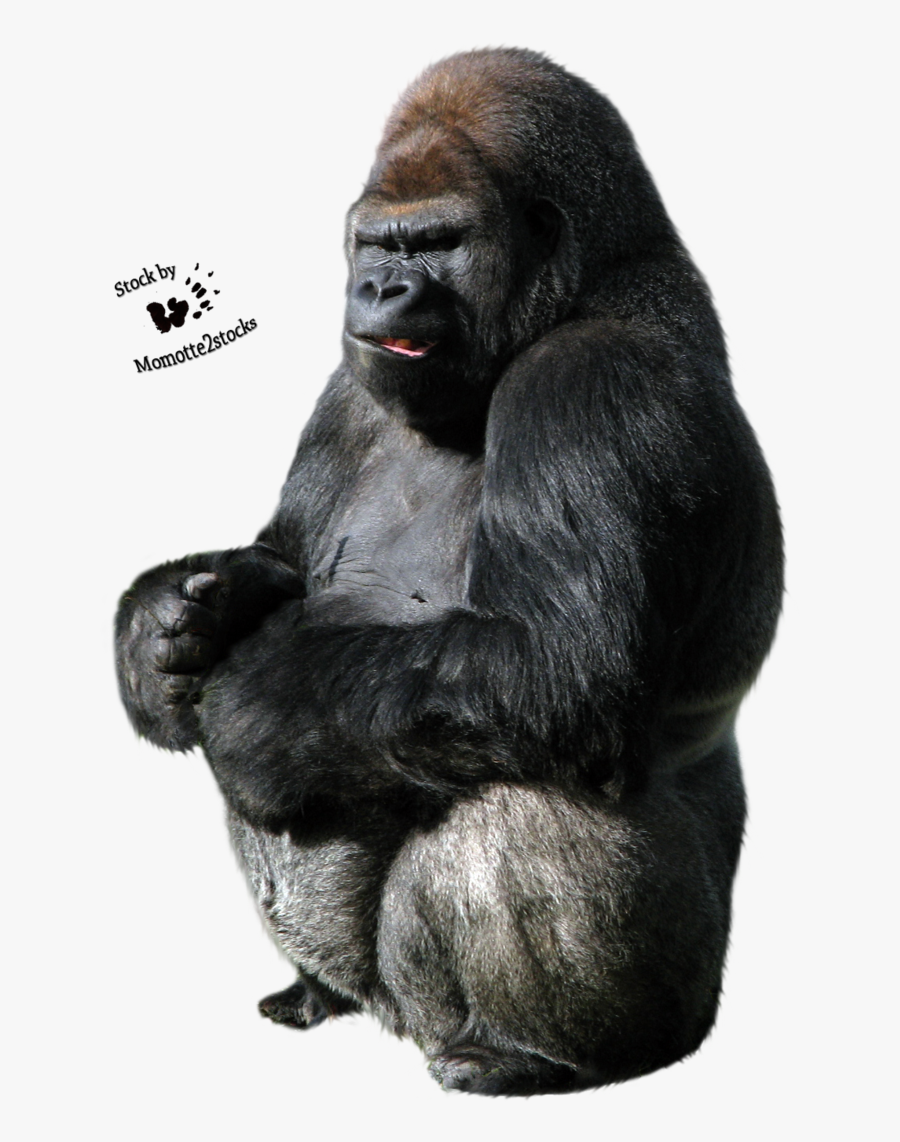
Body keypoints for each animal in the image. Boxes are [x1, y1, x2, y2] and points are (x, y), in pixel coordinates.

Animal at [115, 48, 783, 1095]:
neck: (592, 281)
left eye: (437, 243)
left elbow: (555, 666)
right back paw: (315, 995)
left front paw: (256, 706)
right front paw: (159, 631)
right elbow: (279, 560)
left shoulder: (595, 382)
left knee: (522, 784)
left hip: (680, 1000)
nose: (380, 290)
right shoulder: (347, 389)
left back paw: (530, 1057)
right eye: (372, 243)